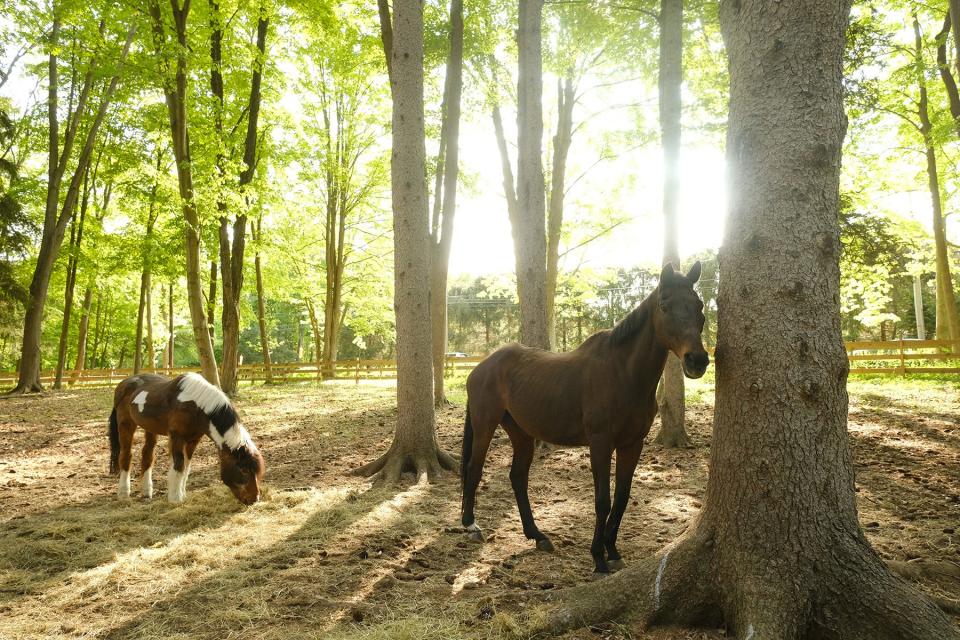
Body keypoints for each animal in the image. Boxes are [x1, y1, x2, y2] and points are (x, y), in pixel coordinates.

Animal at [110, 372, 264, 508]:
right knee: (126, 455)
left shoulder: (193, 440)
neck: (196, 407)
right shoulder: (177, 437)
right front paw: (175, 498)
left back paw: (147, 492)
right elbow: (179, 465)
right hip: (126, 424)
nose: (254, 499)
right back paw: (123, 493)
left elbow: (186, 467)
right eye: (243, 470)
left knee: (147, 455)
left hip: (150, 428)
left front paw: (182, 494)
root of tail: (123, 384)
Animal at [462, 262, 708, 572]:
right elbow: (603, 500)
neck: (622, 374)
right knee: (474, 469)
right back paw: (471, 526)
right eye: (664, 305)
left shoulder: (632, 444)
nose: (697, 360)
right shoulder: (600, 443)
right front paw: (598, 558)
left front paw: (612, 551)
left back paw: (537, 535)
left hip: (521, 433)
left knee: (517, 477)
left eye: (699, 305)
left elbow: (622, 497)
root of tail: (483, 365)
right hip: (485, 424)